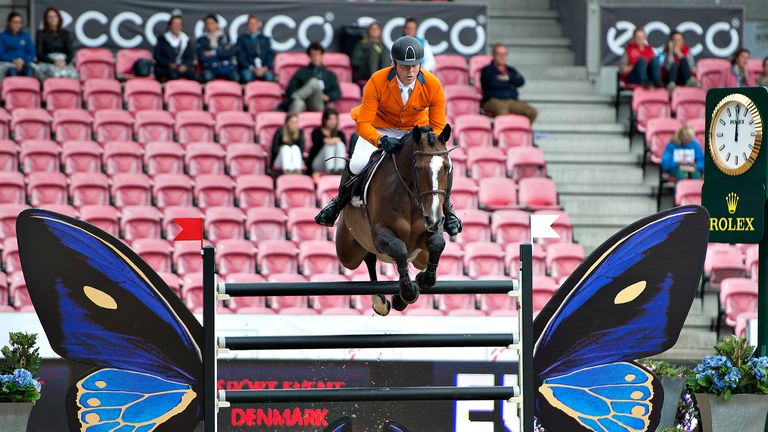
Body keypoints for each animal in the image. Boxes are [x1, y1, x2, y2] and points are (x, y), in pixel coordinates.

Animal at [336, 124, 453, 315]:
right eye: (418, 168)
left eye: (447, 167)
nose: (434, 219)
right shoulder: (379, 235)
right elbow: (399, 248)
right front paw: (407, 292)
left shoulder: (429, 232)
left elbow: (437, 243)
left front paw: (423, 280)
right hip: (347, 253)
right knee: (368, 258)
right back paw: (380, 302)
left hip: (421, 256)